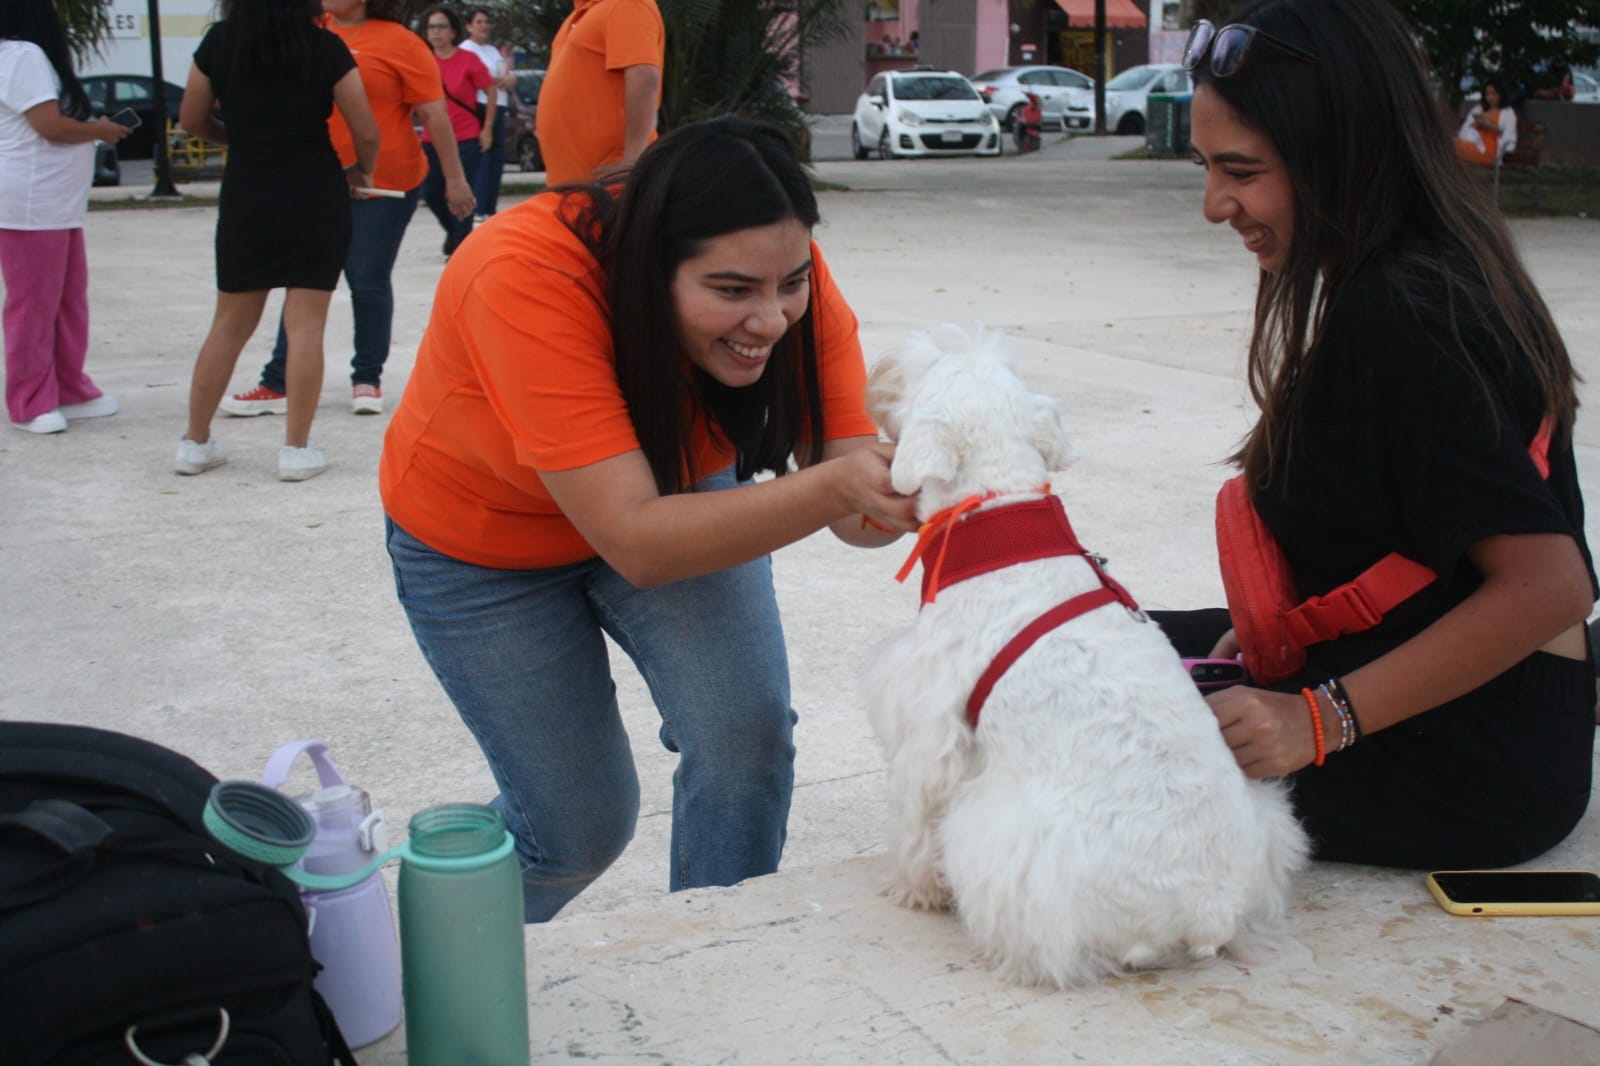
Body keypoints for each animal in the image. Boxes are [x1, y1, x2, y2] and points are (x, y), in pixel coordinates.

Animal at [864, 321, 1312, 979]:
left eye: (926, 369)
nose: (880, 366)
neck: (997, 513)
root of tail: (1205, 916)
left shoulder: (931, 732)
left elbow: (919, 817)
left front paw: (915, 888)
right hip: (1270, 815)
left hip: (1009, 848)